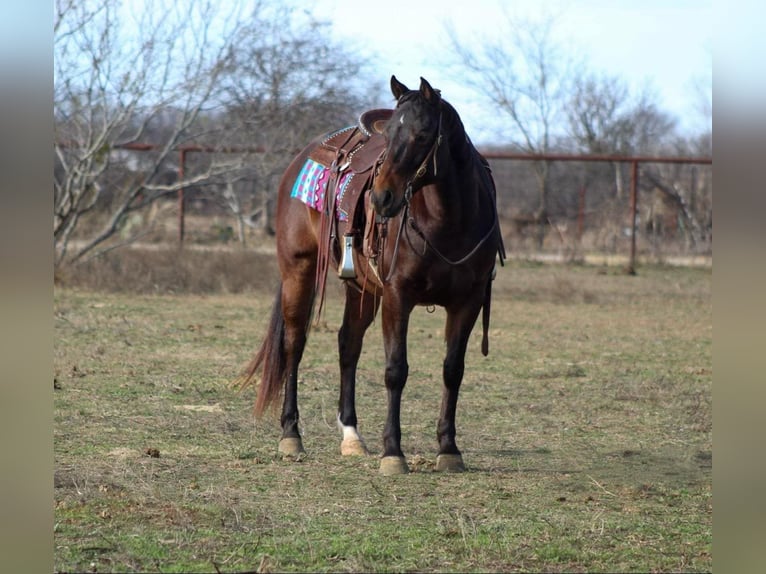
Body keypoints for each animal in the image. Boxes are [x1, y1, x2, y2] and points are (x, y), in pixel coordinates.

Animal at [240, 76, 504, 476]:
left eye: (423, 134)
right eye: (390, 133)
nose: (382, 198)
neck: (449, 222)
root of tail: (301, 158)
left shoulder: (468, 301)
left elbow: (452, 369)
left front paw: (448, 449)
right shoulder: (398, 295)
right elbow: (396, 370)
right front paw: (393, 452)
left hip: (362, 289)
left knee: (348, 344)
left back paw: (351, 436)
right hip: (299, 271)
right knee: (294, 345)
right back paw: (291, 435)